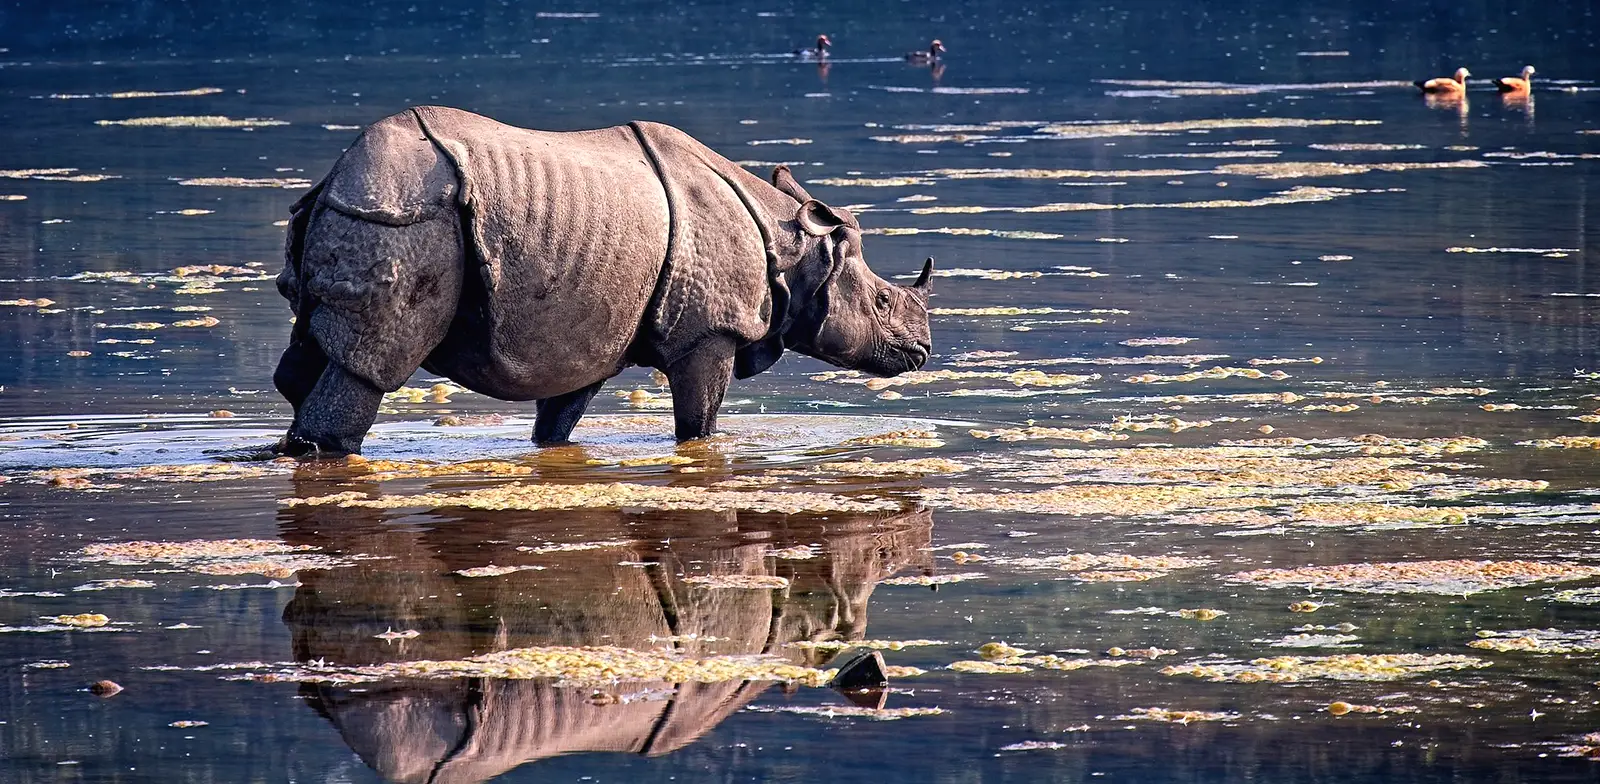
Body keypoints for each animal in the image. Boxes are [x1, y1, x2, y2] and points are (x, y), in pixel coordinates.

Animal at [273, 106, 933, 455]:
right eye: (881, 302)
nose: (923, 350)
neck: (793, 247)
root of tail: (338, 178)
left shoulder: (588, 334)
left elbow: (559, 418)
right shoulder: (708, 334)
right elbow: (699, 426)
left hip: (368, 213)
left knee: (309, 357)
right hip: (406, 219)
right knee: (371, 366)